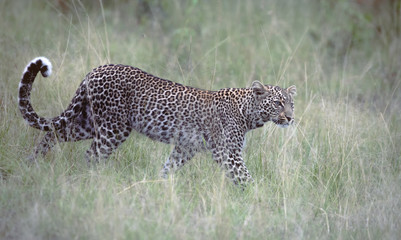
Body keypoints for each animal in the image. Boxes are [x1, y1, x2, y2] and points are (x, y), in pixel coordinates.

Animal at [18, 56, 296, 186]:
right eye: (278, 103)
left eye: (291, 103)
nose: (290, 117)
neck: (249, 113)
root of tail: (95, 70)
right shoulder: (228, 153)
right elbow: (245, 178)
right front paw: (259, 200)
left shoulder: (185, 147)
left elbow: (168, 167)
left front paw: (158, 186)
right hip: (113, 128)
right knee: (91, 155)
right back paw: (93, 181)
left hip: (88, 121)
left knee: (54, 132)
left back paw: (31, 163)